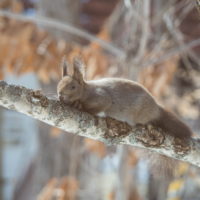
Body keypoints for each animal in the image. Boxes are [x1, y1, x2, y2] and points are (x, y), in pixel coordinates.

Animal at [56, 57, 192, 140]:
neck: (86, 91)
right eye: (58, 83)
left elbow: (97, 106)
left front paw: (79, 106)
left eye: (73, 87)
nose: (59, 93)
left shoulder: (101, 97)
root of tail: (156, 109)